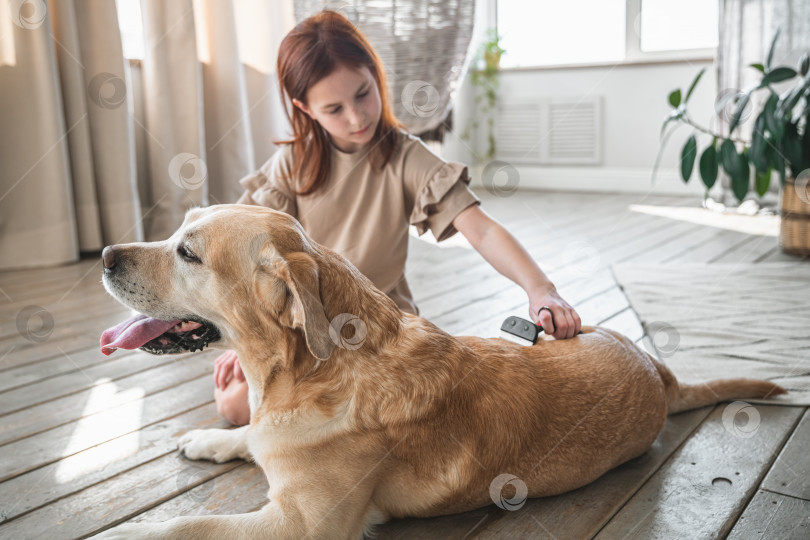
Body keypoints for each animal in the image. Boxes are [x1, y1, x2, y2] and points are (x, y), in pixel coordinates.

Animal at [94, 205, 784, 536]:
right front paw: (210, 439)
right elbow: (246, 437)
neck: (301, 376)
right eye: (178, 232)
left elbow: (184, 524)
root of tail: (657, 370)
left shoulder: (299, 526)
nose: (103, 254)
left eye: (187, 252)